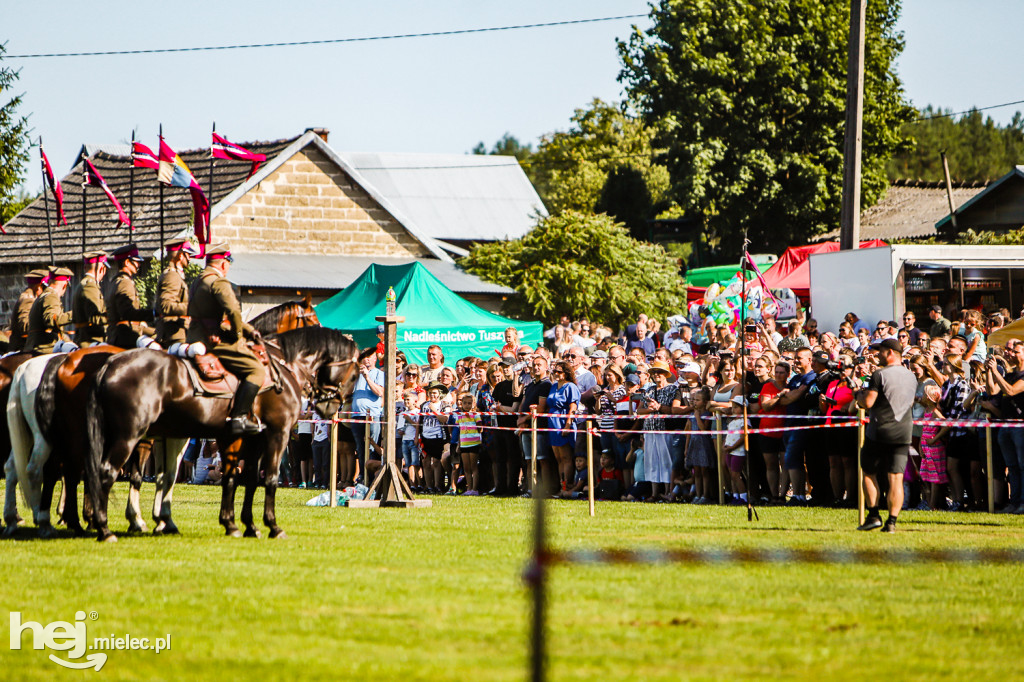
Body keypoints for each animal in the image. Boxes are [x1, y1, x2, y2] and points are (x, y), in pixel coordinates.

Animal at [87, 325, 360, 540]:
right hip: (129, 437)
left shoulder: (247, 439)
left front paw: (242, 525)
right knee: (107, 472)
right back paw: (105, 528)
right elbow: (268, 478)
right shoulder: (276, 433)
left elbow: (243, 479)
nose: (330, 407)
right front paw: (272, 526)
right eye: (354, 375)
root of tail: (109, 365)